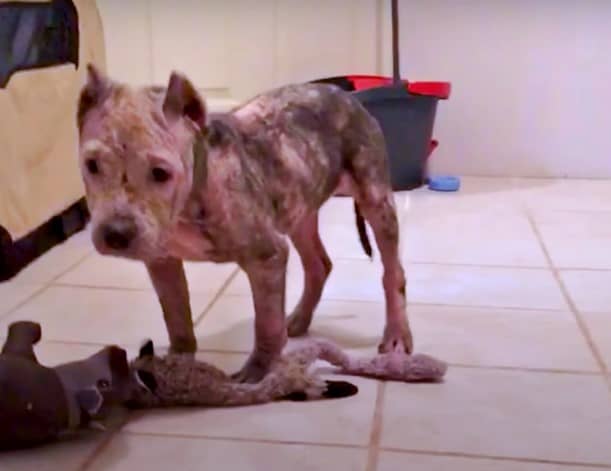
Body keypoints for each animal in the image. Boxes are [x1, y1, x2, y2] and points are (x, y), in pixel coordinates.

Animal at [74, 63, 414, 384]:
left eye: (160, 173)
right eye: (91, 165)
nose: (116, 234)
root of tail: (344, 94)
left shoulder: (267, 256)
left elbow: (266, 322)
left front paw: (259, 370)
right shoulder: (162, 261)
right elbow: (176, 315)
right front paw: (177, 361)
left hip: (375, 198)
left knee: (392, 272)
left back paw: (396, 335)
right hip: (298, 207)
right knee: (318, 264)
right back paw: (299, 319)